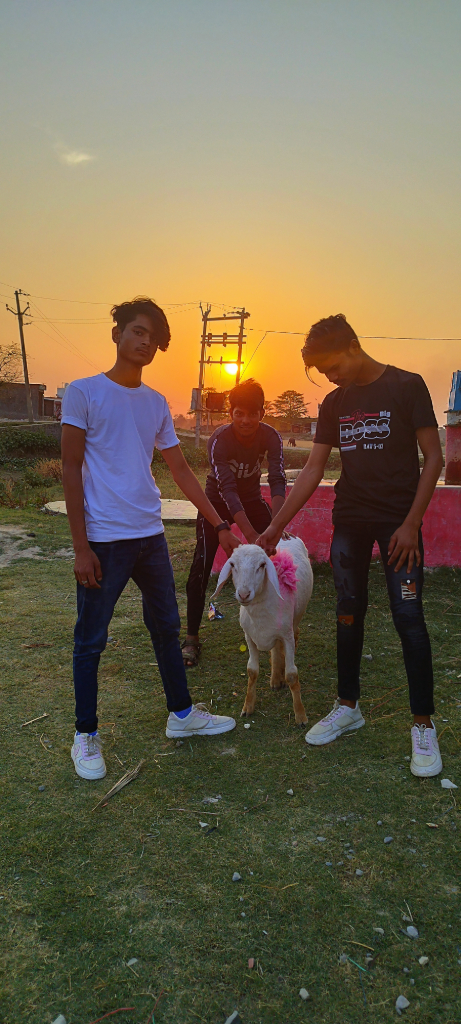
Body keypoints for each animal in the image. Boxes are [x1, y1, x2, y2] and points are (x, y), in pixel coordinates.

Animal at [212, 536, 313, 729]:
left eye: (262, 565)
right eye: (232, 564)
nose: (244, 594)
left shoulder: (287, 636)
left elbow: (292, 674)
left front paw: (301, 716)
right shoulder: (249, 637)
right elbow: (252, 671)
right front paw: (248, 706)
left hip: (296, 618)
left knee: (295, 634)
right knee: (276, 650)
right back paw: (275, 678)